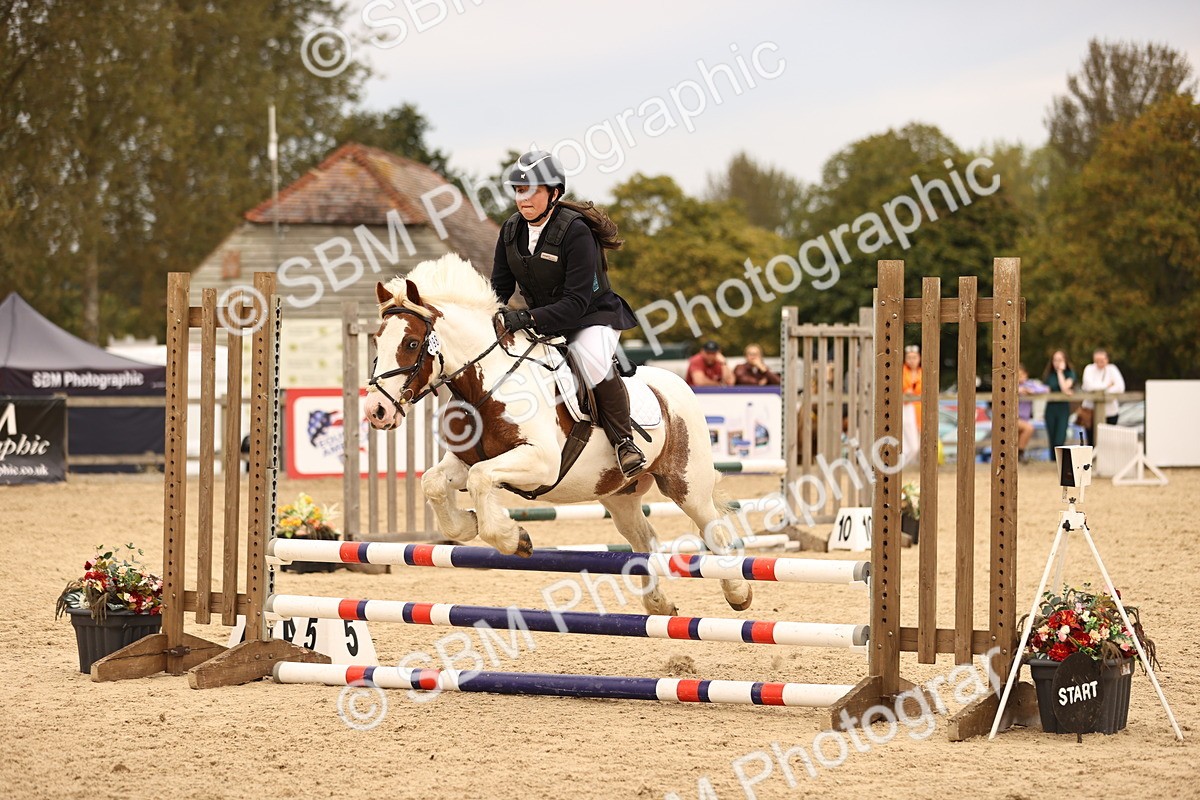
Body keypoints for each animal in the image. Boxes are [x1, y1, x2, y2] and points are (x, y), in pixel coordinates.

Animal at [363, 254, 752, 616]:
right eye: (377, 341)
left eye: (412, 344)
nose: (376, 412)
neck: (486, 385)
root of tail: (675, 383)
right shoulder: (465, 461)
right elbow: (433, 482)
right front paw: (468, 524)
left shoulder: (540, 462)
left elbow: (481, 479)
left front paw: (514, 539)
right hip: (618, 494)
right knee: (644, 538)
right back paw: (657, 604)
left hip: (684, 482)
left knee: (712, 529)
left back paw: (738, 593)